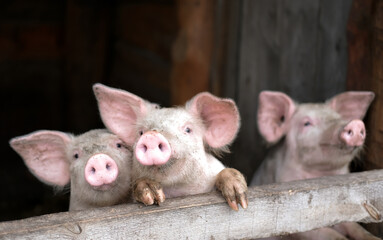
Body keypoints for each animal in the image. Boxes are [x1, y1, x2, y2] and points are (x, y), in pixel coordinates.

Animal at [93, 84, 249, 210]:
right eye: (141, 132)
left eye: (188, 130)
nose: (151, 135)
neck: (179, 190)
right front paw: (151, 193)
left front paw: (239, 201)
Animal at [250, 91, 380, 240]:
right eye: (307, 123)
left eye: (339, 118)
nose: (356, 123)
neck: (322, 174)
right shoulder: (291, 216)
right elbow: (327, 233)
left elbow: (355, 227)